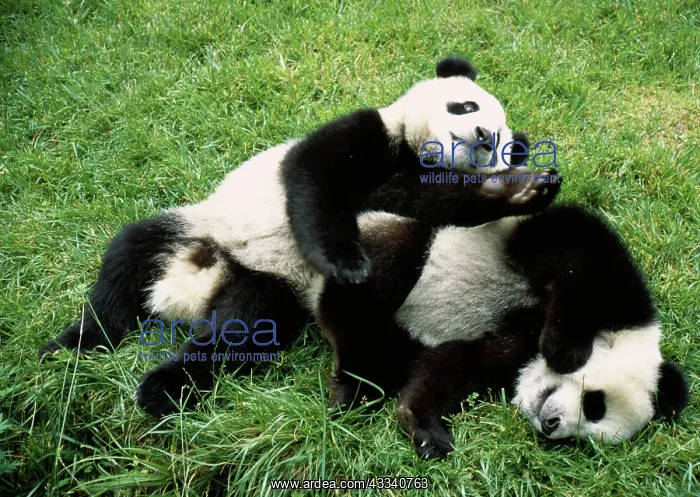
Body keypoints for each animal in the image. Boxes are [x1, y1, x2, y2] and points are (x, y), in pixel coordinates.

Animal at [38, 56, 558, 417]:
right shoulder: (369, 132)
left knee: (240, 329)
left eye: (500, 141)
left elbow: (421, 202)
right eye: (466, 105)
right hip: (196, 226)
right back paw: (78, 345)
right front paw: (346, 261)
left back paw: (167, 384)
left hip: (268, 285)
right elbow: (313, 179)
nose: (482, 135)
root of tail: (190, 291)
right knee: (125, 263)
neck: (418, 154)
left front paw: (521, 190)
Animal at [311, 198, 690, 459]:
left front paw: (422, 425)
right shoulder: (609, 283)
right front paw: (565, 351)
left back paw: (359, 386)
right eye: (595, 402)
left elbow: (461, 366)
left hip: (399, 336)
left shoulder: (513, 348)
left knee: (383, 352)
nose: (552, 425)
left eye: (583, 437)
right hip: (391, 240)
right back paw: (350, 388)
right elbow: (578, 256)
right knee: (387, 269)